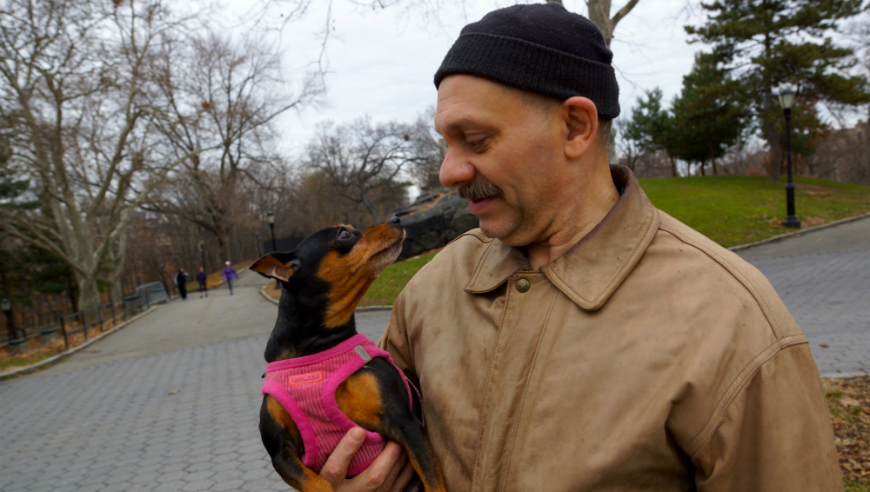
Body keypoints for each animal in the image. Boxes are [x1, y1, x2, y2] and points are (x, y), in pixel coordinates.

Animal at [249, 219, 446, 492]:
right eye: (344, 234)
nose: (396, 219)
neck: (314, 348)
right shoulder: (281, 453)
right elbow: (319, 485)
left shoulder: (406, 424)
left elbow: (433, 481)